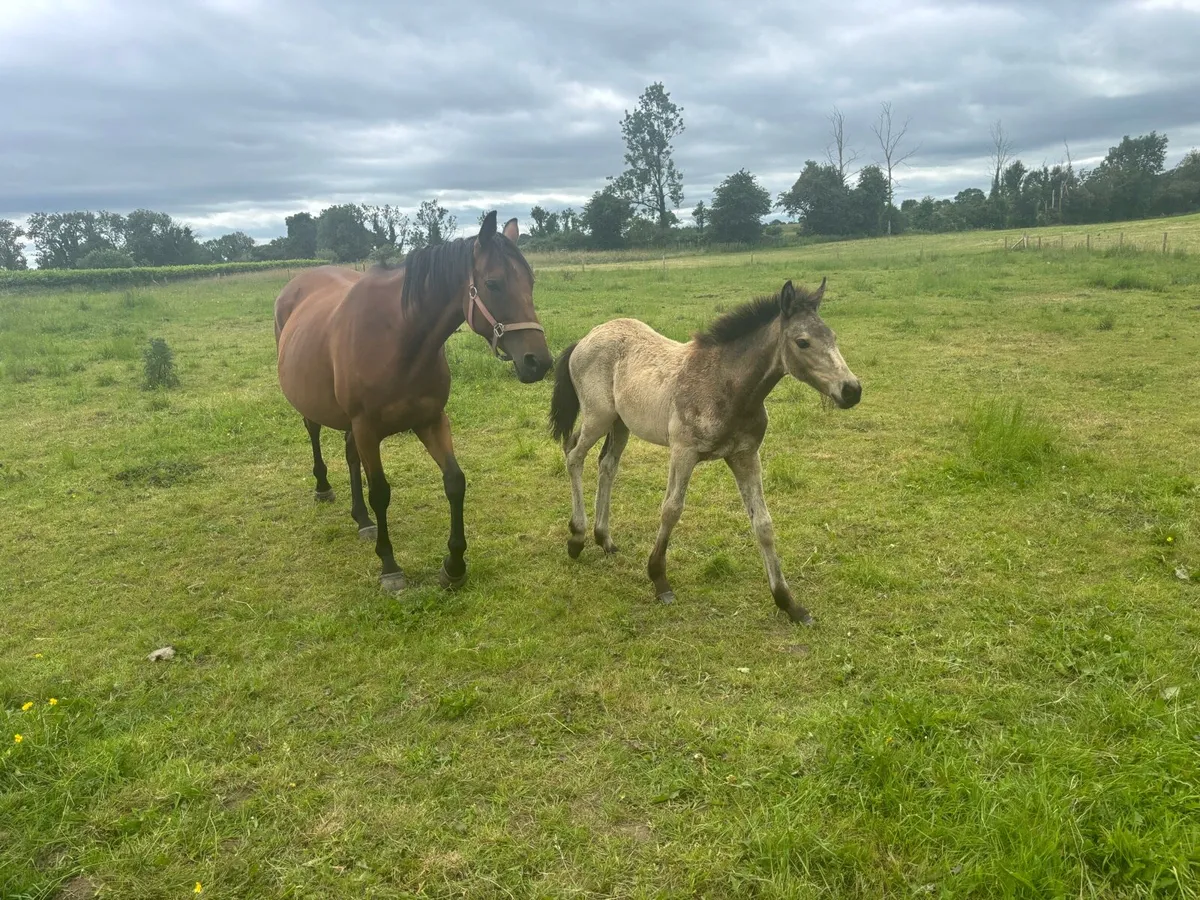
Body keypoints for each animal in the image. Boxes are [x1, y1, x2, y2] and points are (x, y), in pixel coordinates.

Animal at [273, 211, 552, 593]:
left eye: (530, 282)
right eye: (493, 283)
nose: (539, 362)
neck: (398, 339)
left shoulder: (430, 420)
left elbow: (455, 481)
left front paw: (454, 566)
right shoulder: (367, 429)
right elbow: (380, 492)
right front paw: (389, 566)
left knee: (349, 456)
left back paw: (362, 520)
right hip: (315, 406)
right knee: (313, 431)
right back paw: (324, 489)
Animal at [548, 277, 861, 625]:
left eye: (832, 336)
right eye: (802, 342)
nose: (852, 390)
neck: (726, 385)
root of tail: (586, 338)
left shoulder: (745, 455)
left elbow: (763, 523)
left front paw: (788, 602)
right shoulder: (683, 452)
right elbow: (671, 509)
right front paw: (659, 580)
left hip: (621, 424)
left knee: (607, 465)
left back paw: (604, 539)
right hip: (598, 417)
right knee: (574, 455)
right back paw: (577, 537)